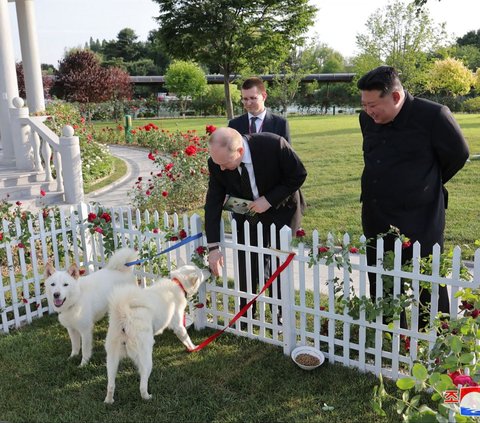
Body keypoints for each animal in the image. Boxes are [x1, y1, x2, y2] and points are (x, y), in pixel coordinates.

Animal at [105, 264, 210, 406]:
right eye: (200, 272)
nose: (209, 269)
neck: (178, 283)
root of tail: (124, 315)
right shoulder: (178, 326)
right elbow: (186, 337)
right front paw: (193, 348)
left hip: (112, 359)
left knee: (110, 385)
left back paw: (109, 401)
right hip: (145, 358)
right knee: (142, 385)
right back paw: (147, 397)